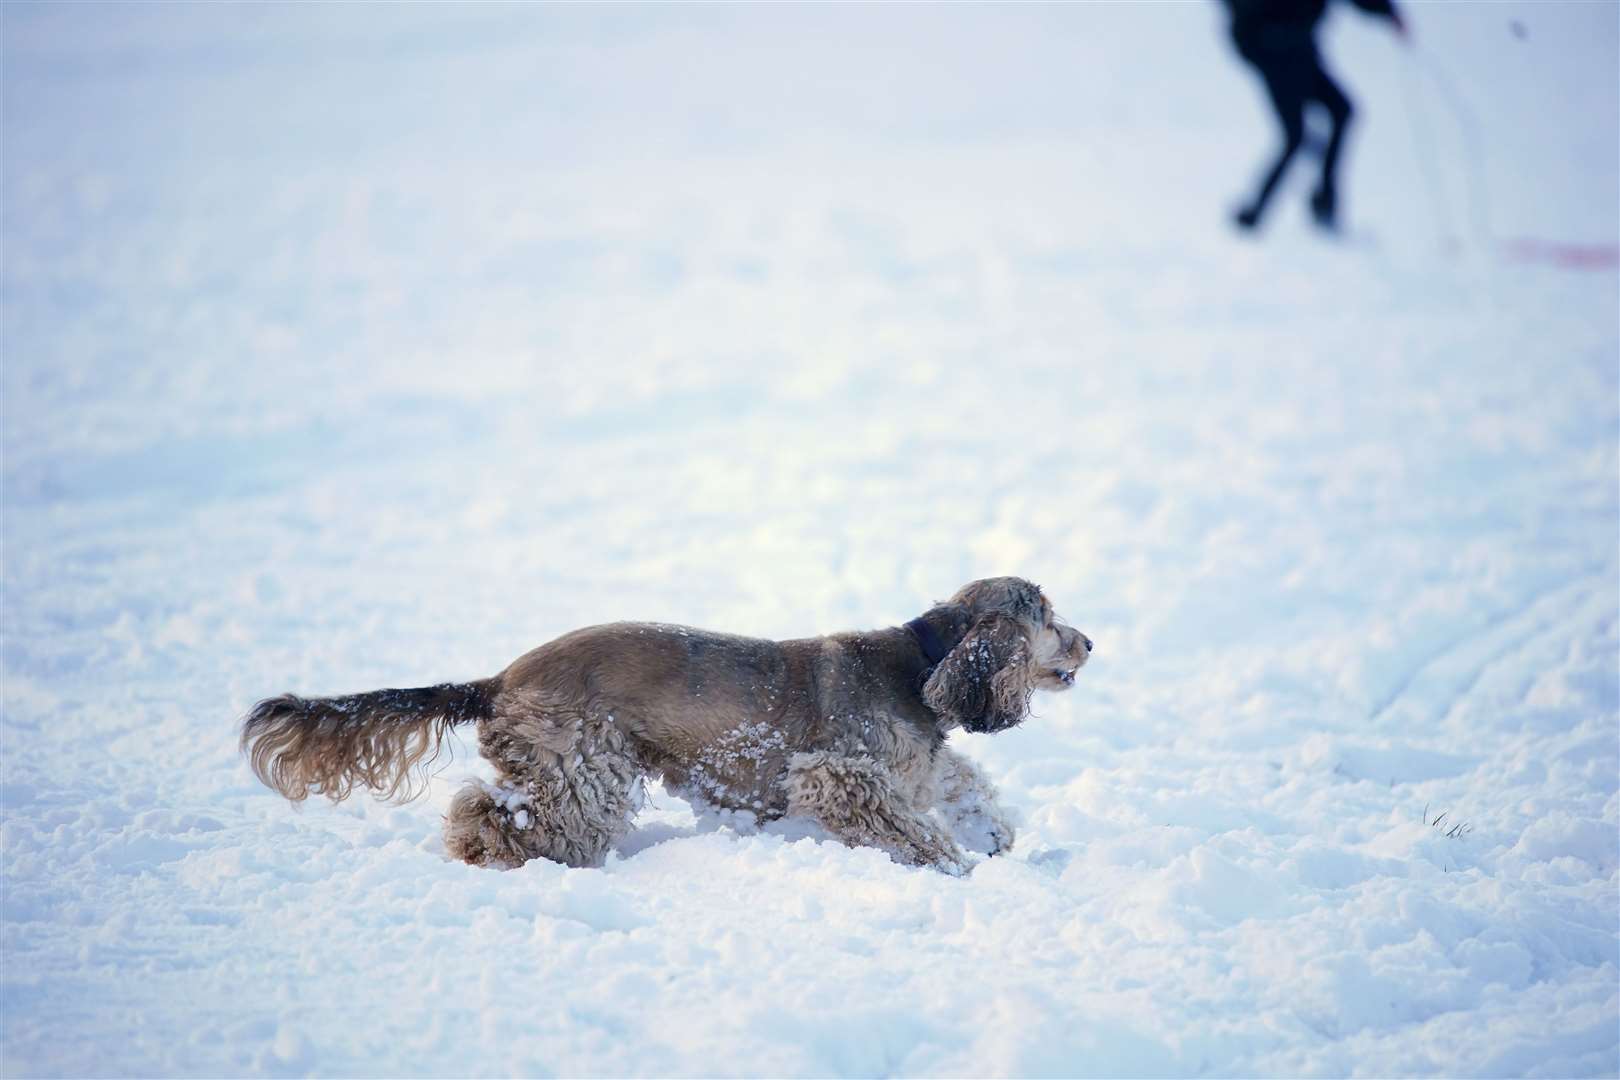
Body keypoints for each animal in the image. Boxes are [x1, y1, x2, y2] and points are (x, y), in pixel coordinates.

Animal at [239, 579, 1095, 874]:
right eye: (1047, 615)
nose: (1090, 642)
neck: (921, 663)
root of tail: (499, 681)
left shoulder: (916, 762)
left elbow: (962, 780)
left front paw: (994, 837)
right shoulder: (840, 773)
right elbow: (907, 823)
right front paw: (955, 864)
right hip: (583, 766)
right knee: (492, 815)